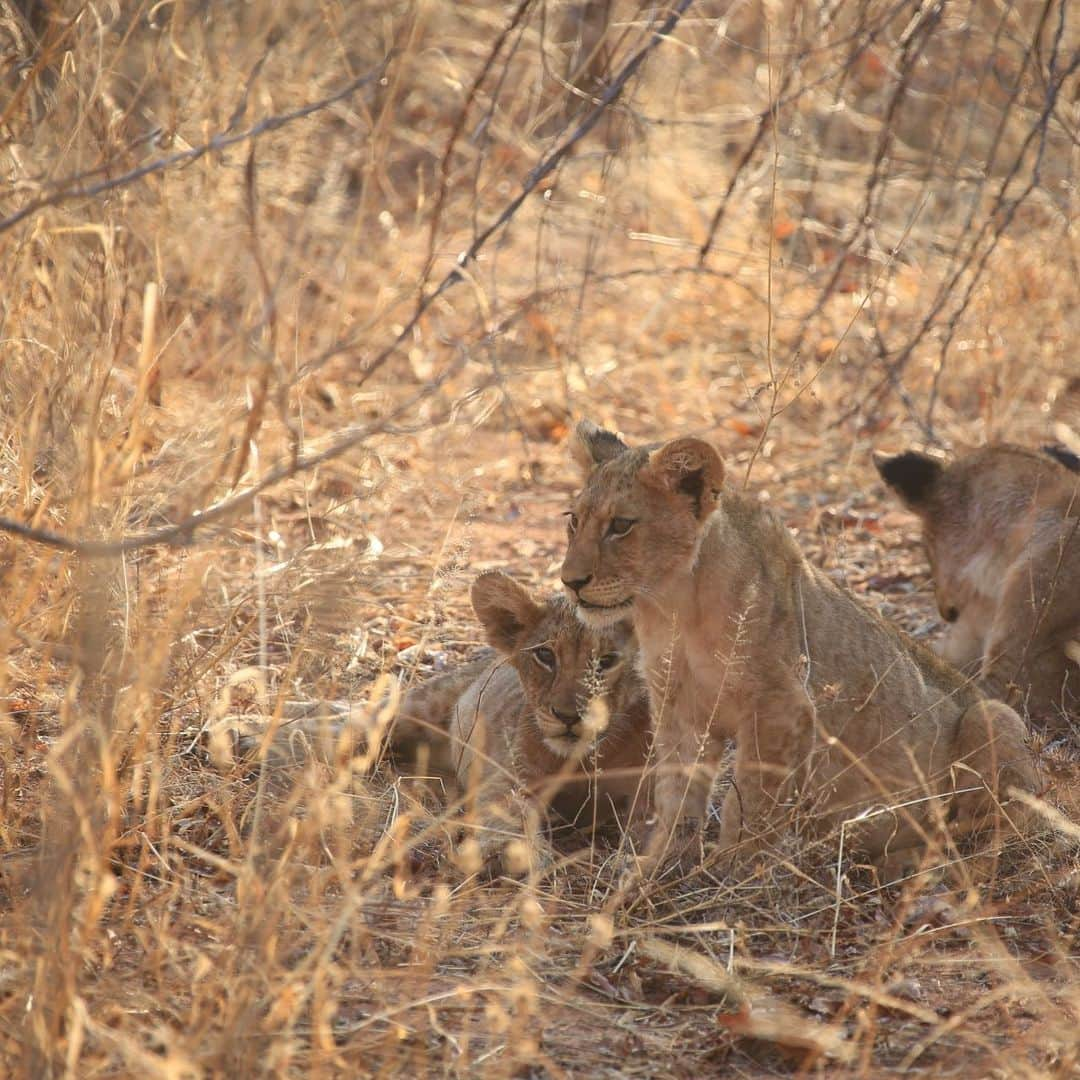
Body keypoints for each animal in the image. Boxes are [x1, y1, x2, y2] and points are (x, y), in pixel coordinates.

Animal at [557, 421, 1036, 876]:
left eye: (621, 525)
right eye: (573, 521)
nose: (570, 581)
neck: (673, 604)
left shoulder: (779, 706)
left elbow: (749, 798)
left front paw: (735, 870)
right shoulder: (678, 709)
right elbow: (677, 792)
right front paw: (659, 865)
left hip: (993, 717)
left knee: (995, 831)